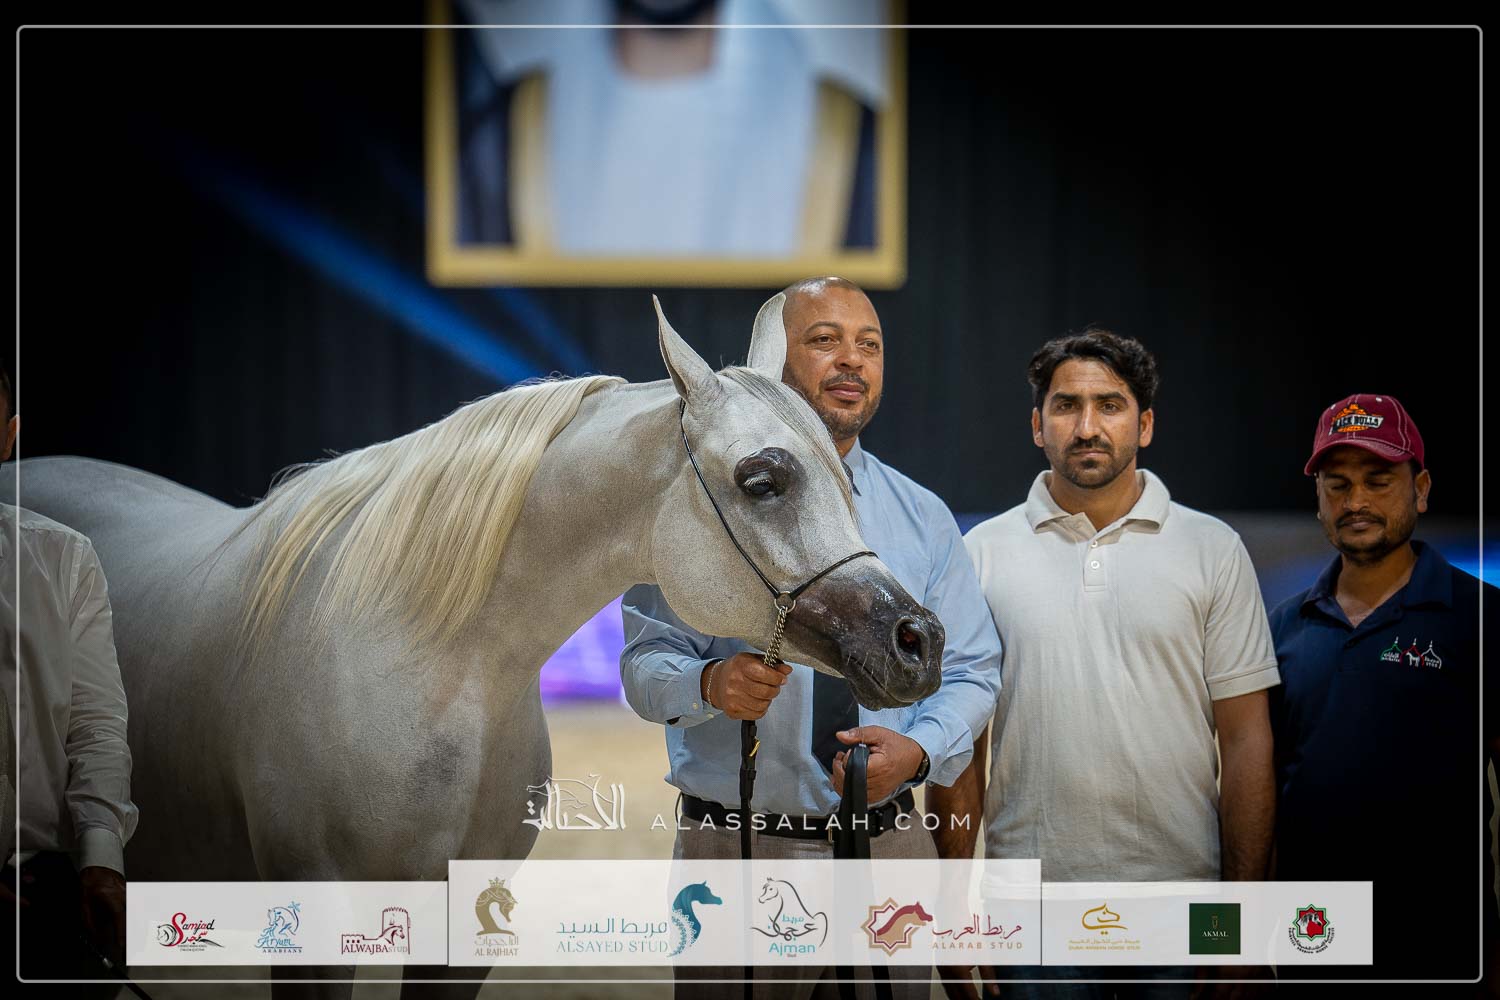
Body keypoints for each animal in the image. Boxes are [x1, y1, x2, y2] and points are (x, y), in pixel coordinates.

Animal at [4, 294, 944, 998]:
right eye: (763, 480)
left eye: (844, 478)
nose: (919, 641)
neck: (427, 664)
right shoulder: (311, 923)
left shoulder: (462, 926)